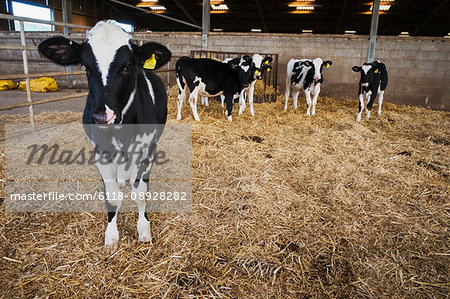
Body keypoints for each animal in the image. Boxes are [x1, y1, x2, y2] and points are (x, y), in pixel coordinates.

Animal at [37, 19, 171, 248]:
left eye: (127, 66)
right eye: (86, 66)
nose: (101, 117)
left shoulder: (148, 150)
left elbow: (140, 194)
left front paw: (144, 229)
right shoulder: (100, 153)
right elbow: (113, 197)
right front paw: (111, 236)